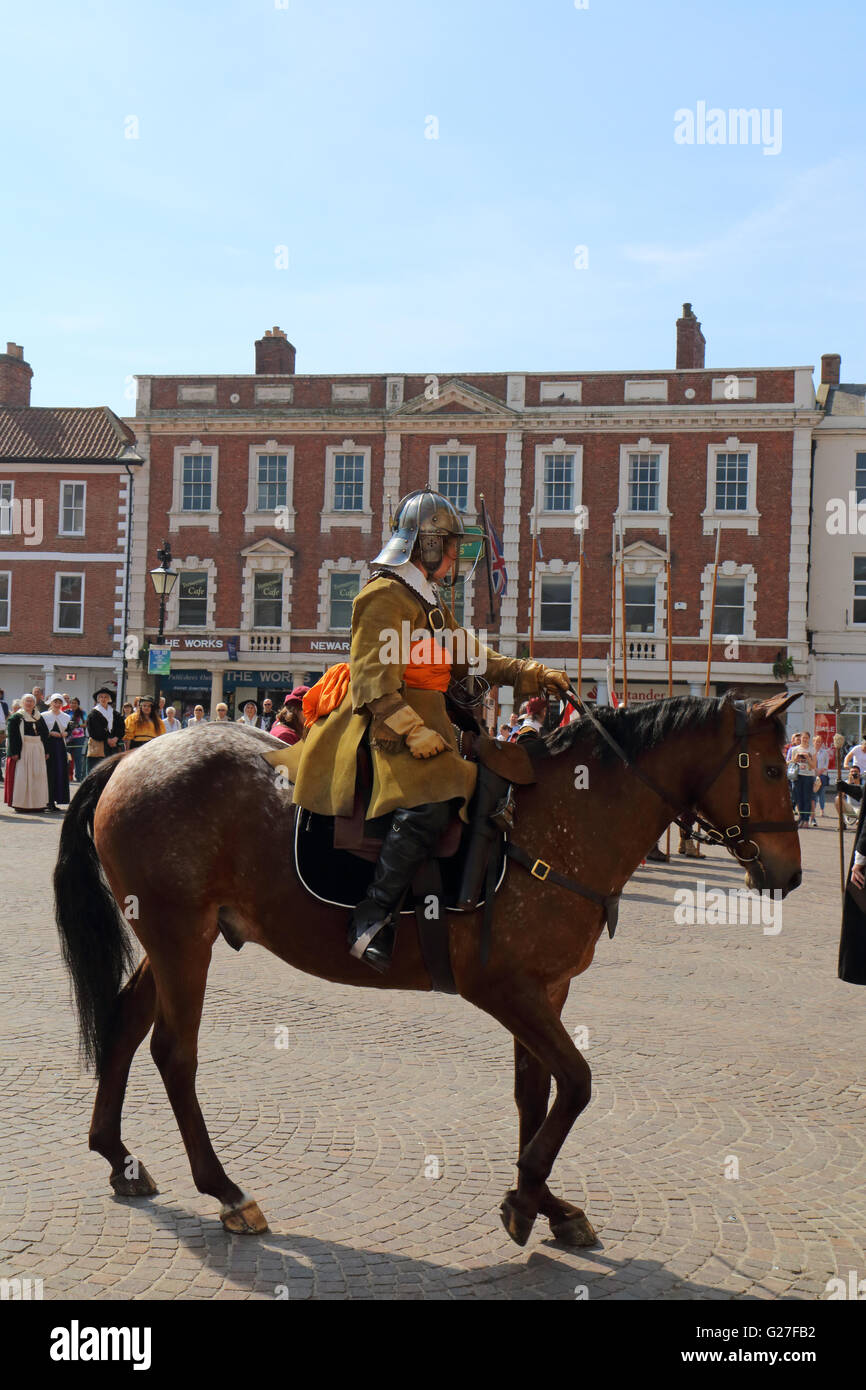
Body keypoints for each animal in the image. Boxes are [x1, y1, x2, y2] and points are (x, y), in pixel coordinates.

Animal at [52, 689, 800, 1245]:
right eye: (770, 770)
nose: (789, 874)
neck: (561, 818)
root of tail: (131, 757)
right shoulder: (503, 989)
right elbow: (578, 1084)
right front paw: (526, 1197)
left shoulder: (546, 991)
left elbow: (537, 1093)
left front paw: (545, 1200)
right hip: (181, 937)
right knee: (174, 1052)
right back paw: (226, 1191)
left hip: (176, 938)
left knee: (124, 1026)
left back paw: (118, 1156)